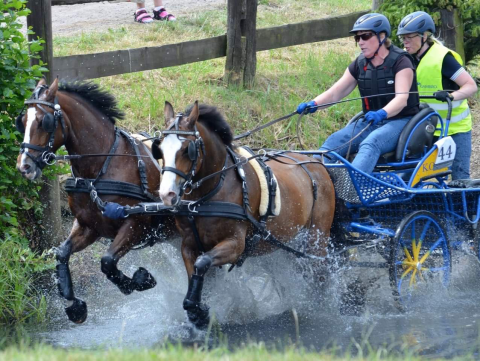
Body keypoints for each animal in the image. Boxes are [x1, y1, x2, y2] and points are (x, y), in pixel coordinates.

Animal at [15, 79, 174, 324]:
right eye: (22, 122)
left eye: (44, 122)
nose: (24, 166)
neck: (100, 169)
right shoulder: (89, 226)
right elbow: (62, 254)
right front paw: (75, 305)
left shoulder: (137, 224)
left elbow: (107, 261)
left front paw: (140, 279)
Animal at [156, 100, 336, 326]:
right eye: (160, 149)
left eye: (187, 150)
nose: (166, 194)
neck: (211, 193)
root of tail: (316, 164)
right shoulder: (190, 244)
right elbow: (198, 270)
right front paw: (197, 309)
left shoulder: (236, 244)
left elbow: (202, 263)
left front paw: (200, 311)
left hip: (317, 239)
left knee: (320, 274)